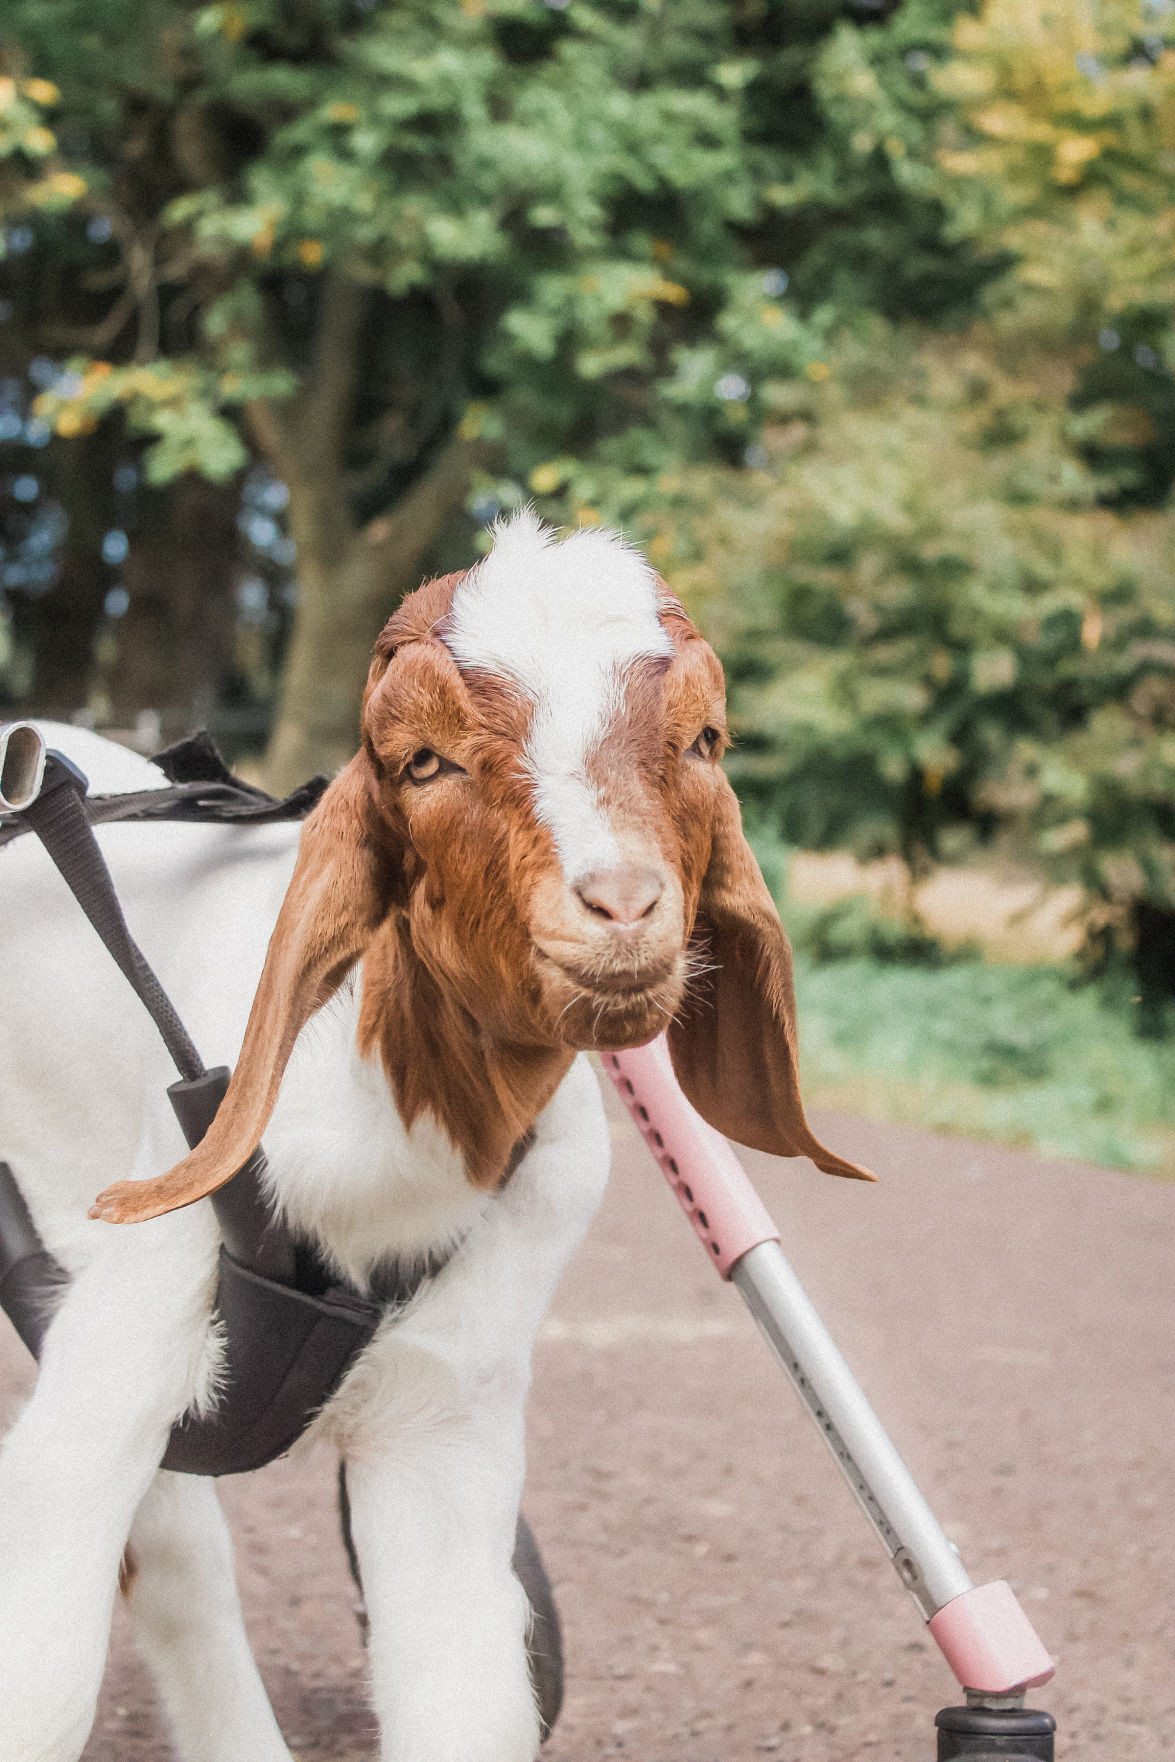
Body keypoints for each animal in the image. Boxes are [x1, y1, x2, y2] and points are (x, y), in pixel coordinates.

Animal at [0, 514, 863, 1762]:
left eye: (703, 740)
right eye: (422, 762)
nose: (619, 907)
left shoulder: (448, 1420)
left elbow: (467, 1691)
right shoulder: (118, 1342)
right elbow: (44, 1680)